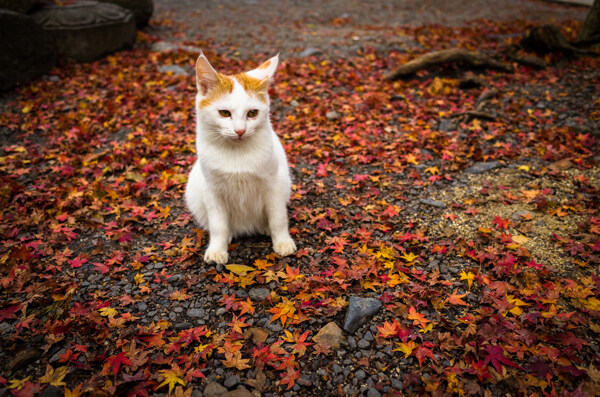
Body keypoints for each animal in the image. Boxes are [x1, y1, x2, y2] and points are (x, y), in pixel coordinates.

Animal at [183, 51, 296, 262]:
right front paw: (217, 250)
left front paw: (282, 242)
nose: (240, 131)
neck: (236, 153)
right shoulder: (212, 191)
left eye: (252, 113)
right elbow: (218, 225)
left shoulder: (275, 184)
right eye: (224, 113)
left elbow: (278, 218)